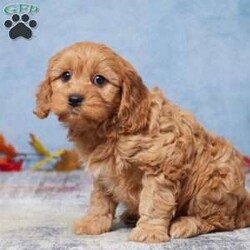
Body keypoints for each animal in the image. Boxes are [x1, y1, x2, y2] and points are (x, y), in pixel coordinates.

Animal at [34, 42, 250, 243]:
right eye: (65, 76)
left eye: (99, 80)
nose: (74, 98)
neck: (111, 127)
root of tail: (244, 203)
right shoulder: (103, 172)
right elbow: (100, 199)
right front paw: (94, 222)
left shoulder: (160, 166)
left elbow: (154, 202)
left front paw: (149, 231)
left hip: (212, 187)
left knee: (220, 220)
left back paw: (185, 224)